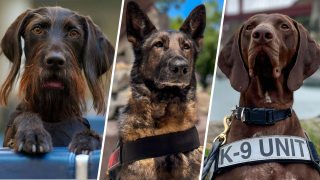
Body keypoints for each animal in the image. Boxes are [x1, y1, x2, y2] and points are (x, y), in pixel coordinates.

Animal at [0, 6, 115, 155]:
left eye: (74, 33)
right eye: (37, 29)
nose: (55, 61)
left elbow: (95, 136)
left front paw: (85, 140)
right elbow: (25, 116)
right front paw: (32, 132)